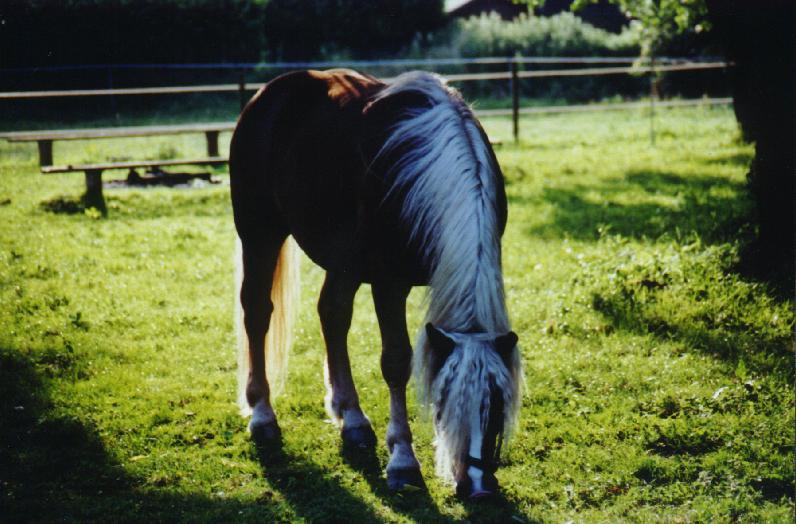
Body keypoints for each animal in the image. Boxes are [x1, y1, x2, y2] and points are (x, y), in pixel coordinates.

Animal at [229, 69, 524, 500]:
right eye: (447, 403)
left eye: (497, 406)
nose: (478, 486)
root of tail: (268, 94)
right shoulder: (388, 283)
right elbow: (397, 362)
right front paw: (403, 460)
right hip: (259, 232)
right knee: (257, 313)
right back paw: (262, 414)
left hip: (343, 259)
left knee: (332, 314)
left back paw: (351, 418)